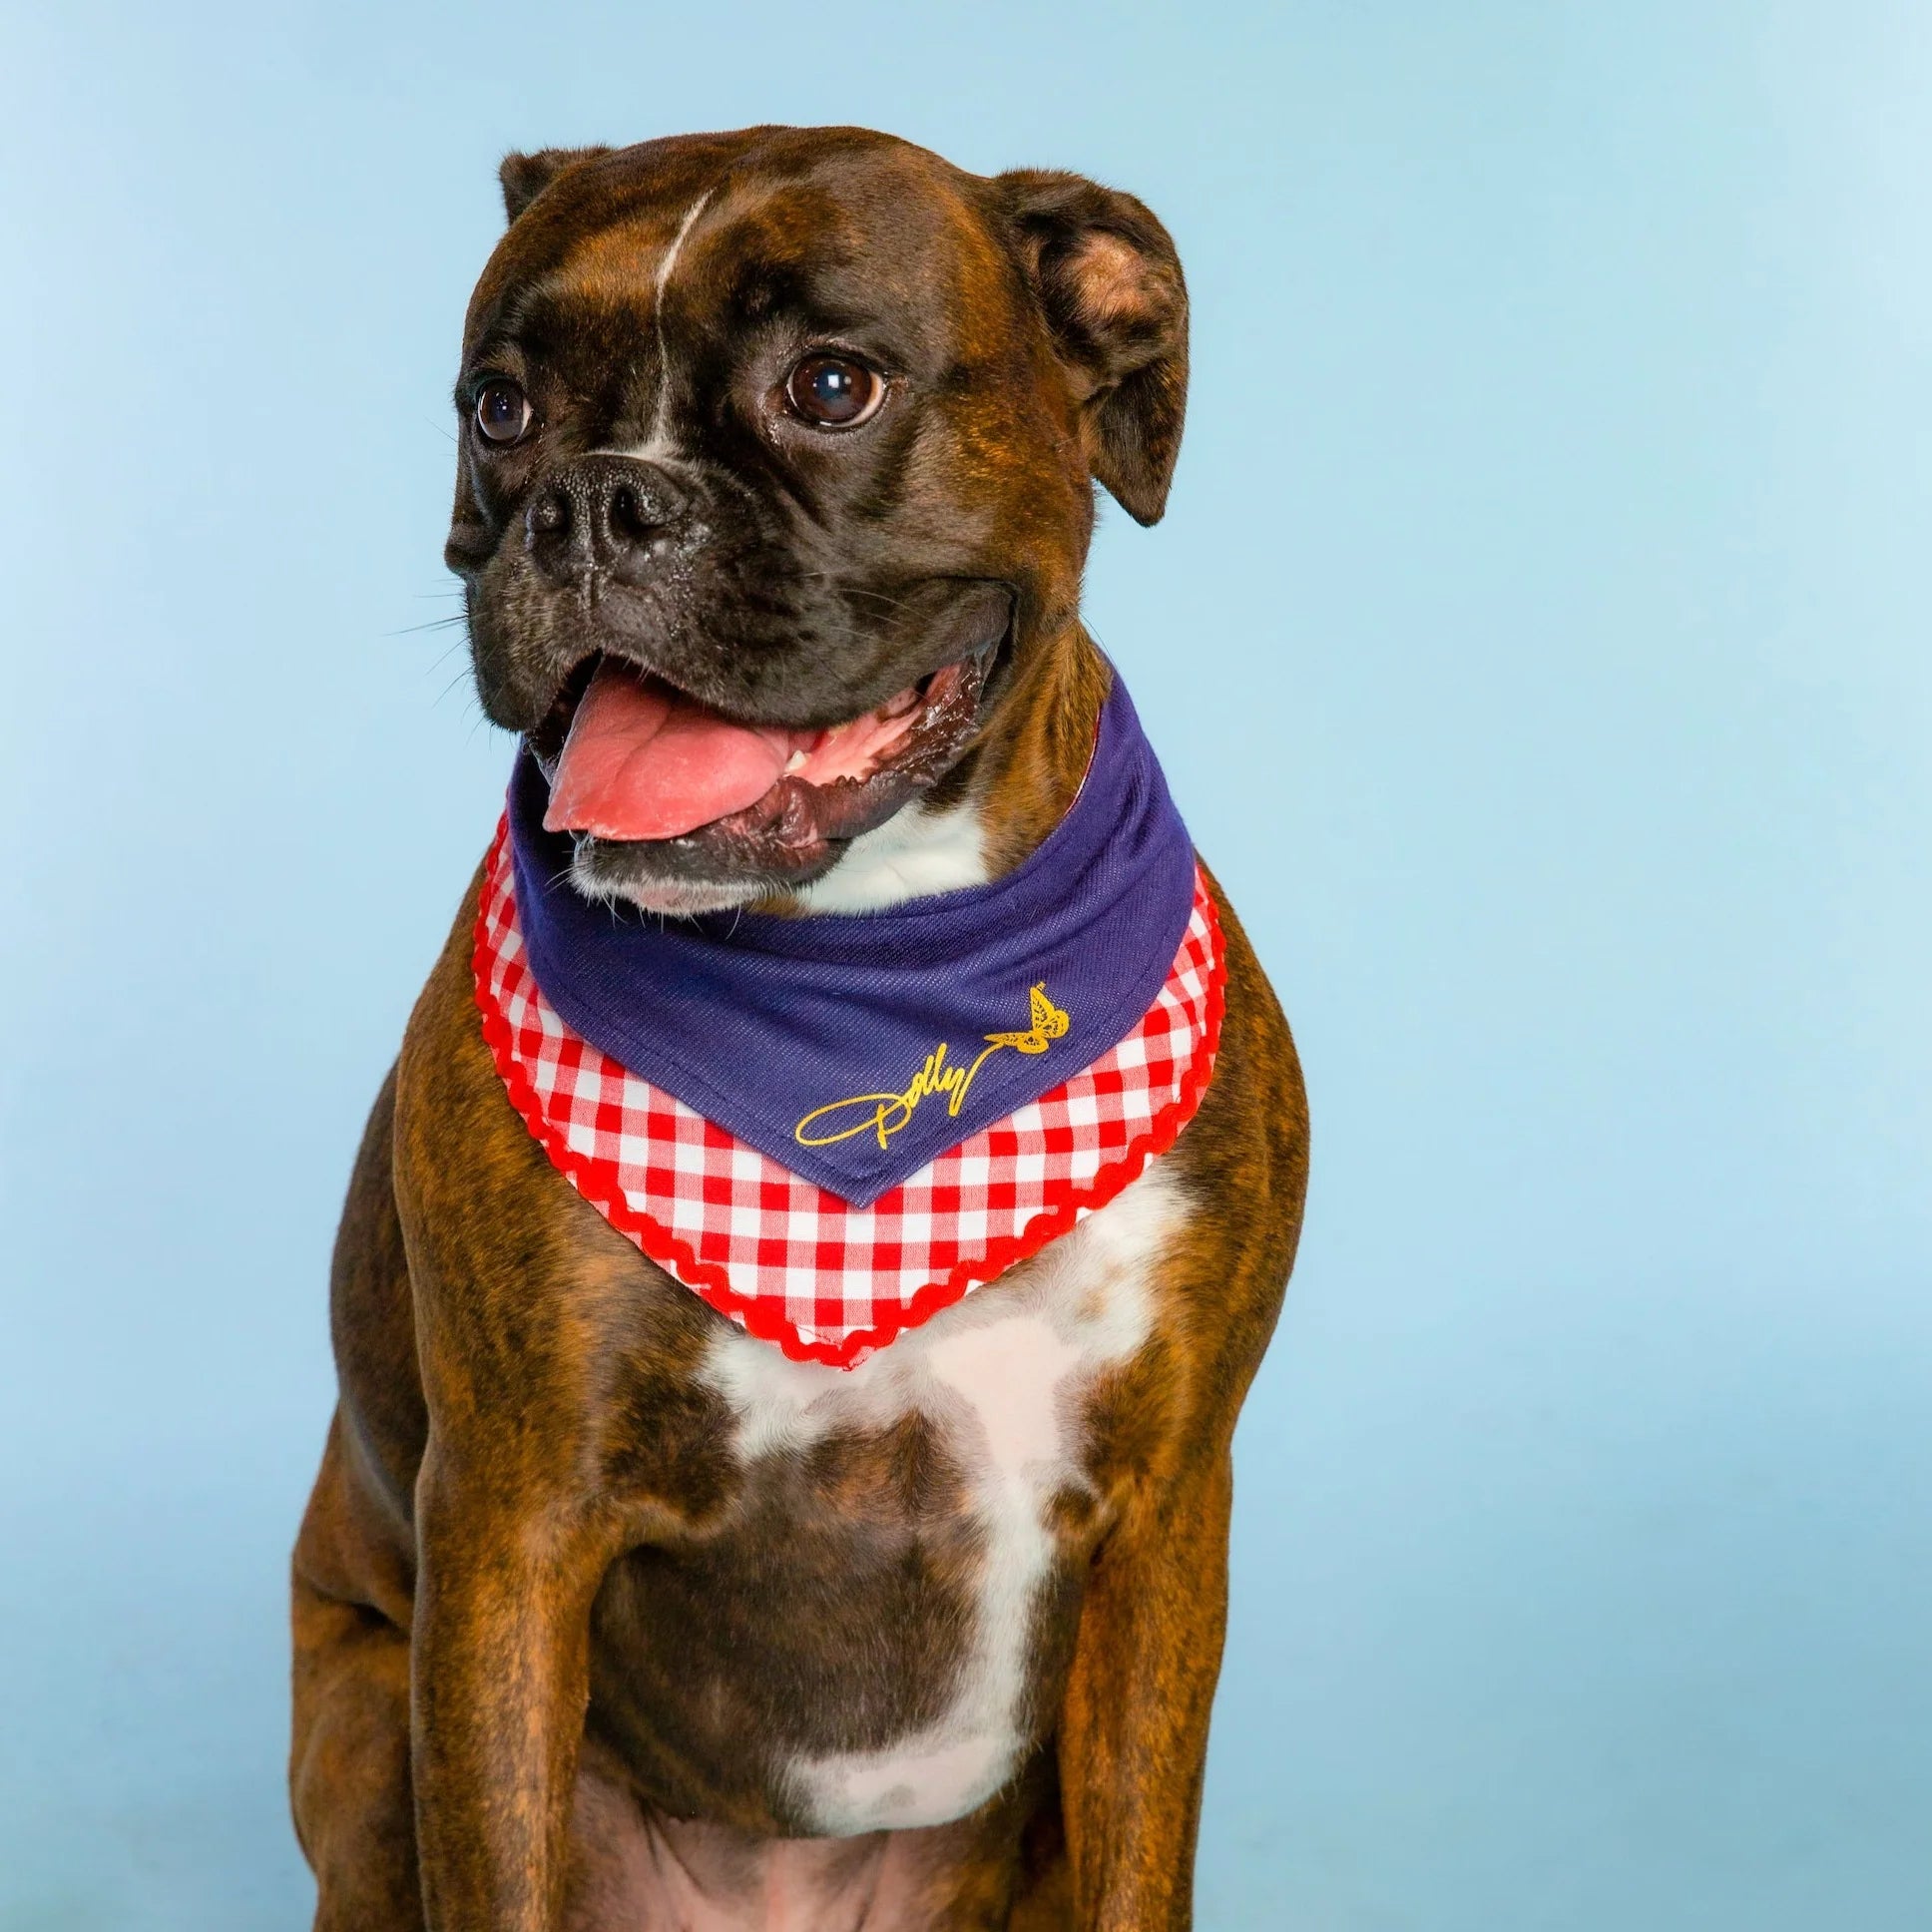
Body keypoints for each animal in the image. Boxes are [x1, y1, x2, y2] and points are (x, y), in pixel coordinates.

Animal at [289, 124, 1313, 1932]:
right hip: (357, 1732)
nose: (594, 502)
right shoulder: (507, 1535)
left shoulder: (1164, 1527)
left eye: (832, 384)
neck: (866, 979)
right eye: (502, 407)